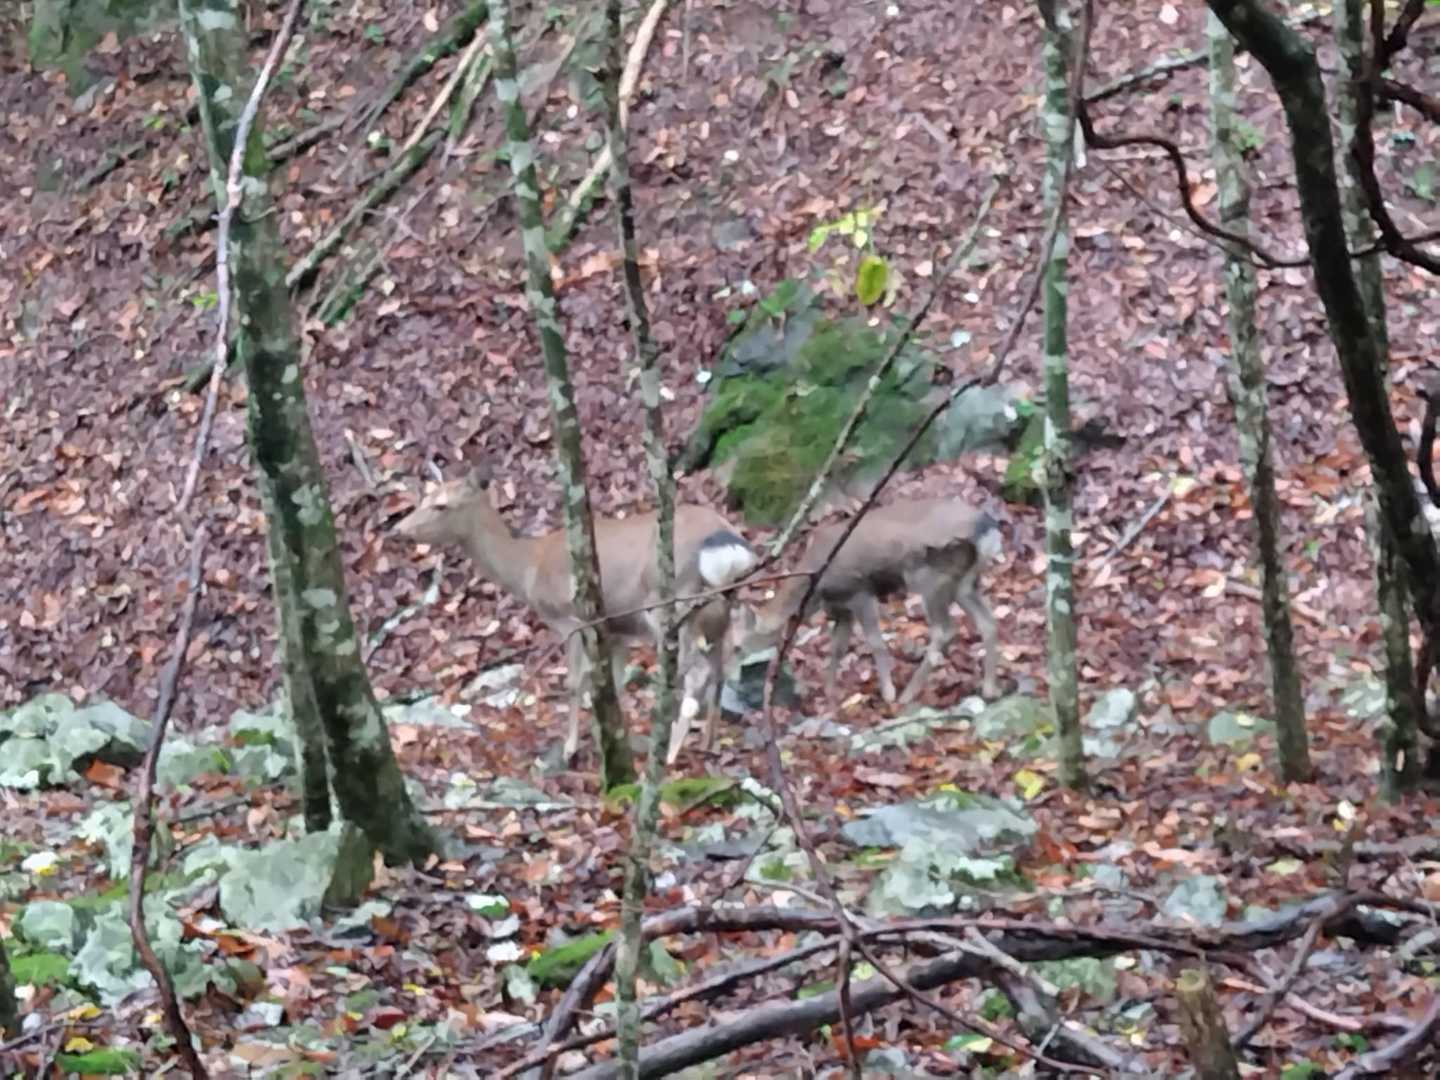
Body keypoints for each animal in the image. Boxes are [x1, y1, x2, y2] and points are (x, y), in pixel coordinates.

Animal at [393, 466, 757, 764]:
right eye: (425, 496)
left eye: (441, 505)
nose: (399, 529)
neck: (529, 569)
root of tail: (729, 546)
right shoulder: (617, 629)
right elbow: (614, 685)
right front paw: (609, 740)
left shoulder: (571, 620)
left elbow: (575, 683)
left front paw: (570, 748)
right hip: (719, 608)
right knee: (719, 668)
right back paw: (709, 743)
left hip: (673, 604)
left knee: (692, 673)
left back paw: (669, 753)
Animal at [740, 498, 1003, 708]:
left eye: (739, 646)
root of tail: (988, 529)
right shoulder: (841, 607)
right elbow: (837, 647)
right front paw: (829, 692)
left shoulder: (860, 592)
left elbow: (875, 642)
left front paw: (888, 692)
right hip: (966, 582)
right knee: (987, 621)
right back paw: (990, 689)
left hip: (931, 577)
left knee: (944, 630)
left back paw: (906, 695)